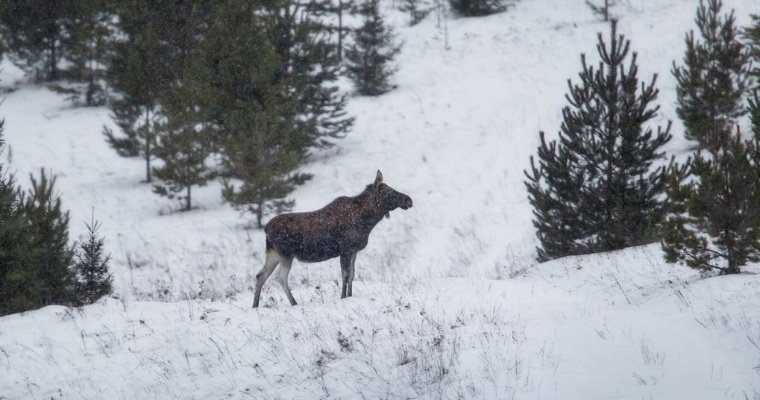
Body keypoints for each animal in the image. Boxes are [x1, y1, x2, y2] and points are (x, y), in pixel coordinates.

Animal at [252, 170, 412, 308]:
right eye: (388, 191)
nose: (409, 200)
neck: (367, 221)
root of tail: (266, 229)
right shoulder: (346, 250)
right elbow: (345, 274)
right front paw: (343, 297)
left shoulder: (354, 251)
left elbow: (352, 274)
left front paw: (350, 295)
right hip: (286, 254)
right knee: (280, 277)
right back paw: (293, 303)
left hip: (273, 254)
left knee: (260, 275)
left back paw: (255, 305)